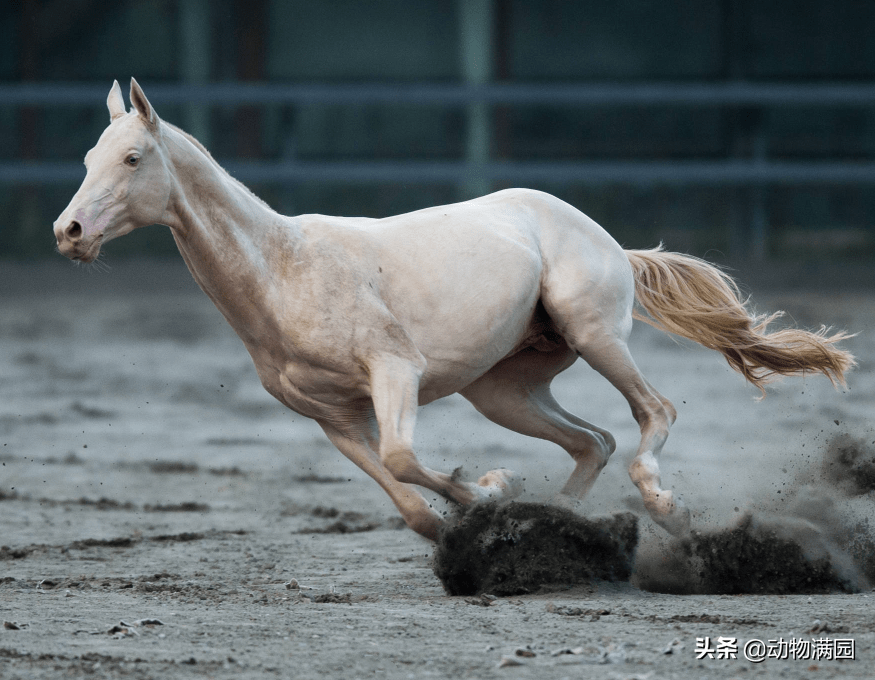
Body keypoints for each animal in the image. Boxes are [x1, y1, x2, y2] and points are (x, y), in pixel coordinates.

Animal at [51, 81, 852, 540]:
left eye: (131, 159)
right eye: (87, 156)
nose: (70, 231)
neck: (285, 272)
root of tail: (611, 244)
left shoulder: (395, 372)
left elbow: (405, 459)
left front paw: (491, 488)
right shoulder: (331, 416)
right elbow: (405, 499)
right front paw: (475, 510)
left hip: (594, 334)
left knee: (653, 411)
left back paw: (662, 505)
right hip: (501, 389)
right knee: (592, 442)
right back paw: (562, 523)